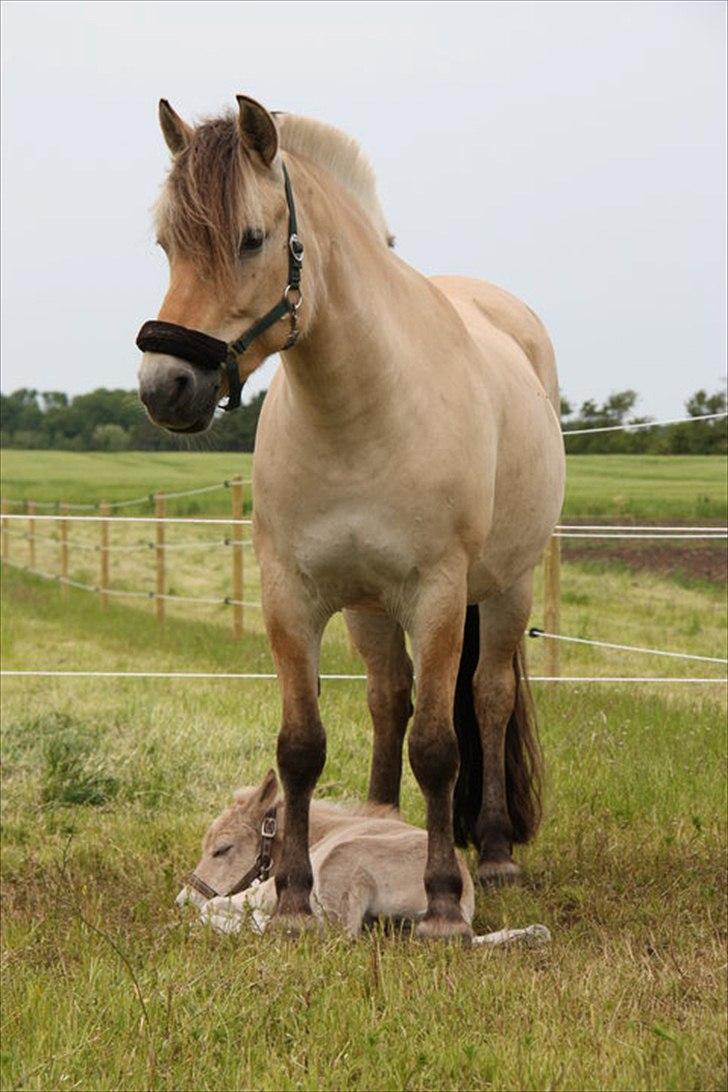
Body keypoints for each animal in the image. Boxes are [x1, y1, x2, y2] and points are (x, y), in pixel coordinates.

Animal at [138, 93, 567, 939]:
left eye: (251, 238)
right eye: (168, 242)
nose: (164, 385)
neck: (361, 411)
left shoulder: (437, 596)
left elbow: (439, 747)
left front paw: (442, 904)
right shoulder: (292, 596)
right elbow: (303, 747)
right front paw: (294, 901)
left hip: (505, 592)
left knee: (487, 701)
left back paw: (495, 853)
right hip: (372, 611)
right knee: (388, 700)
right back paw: (382, 815)